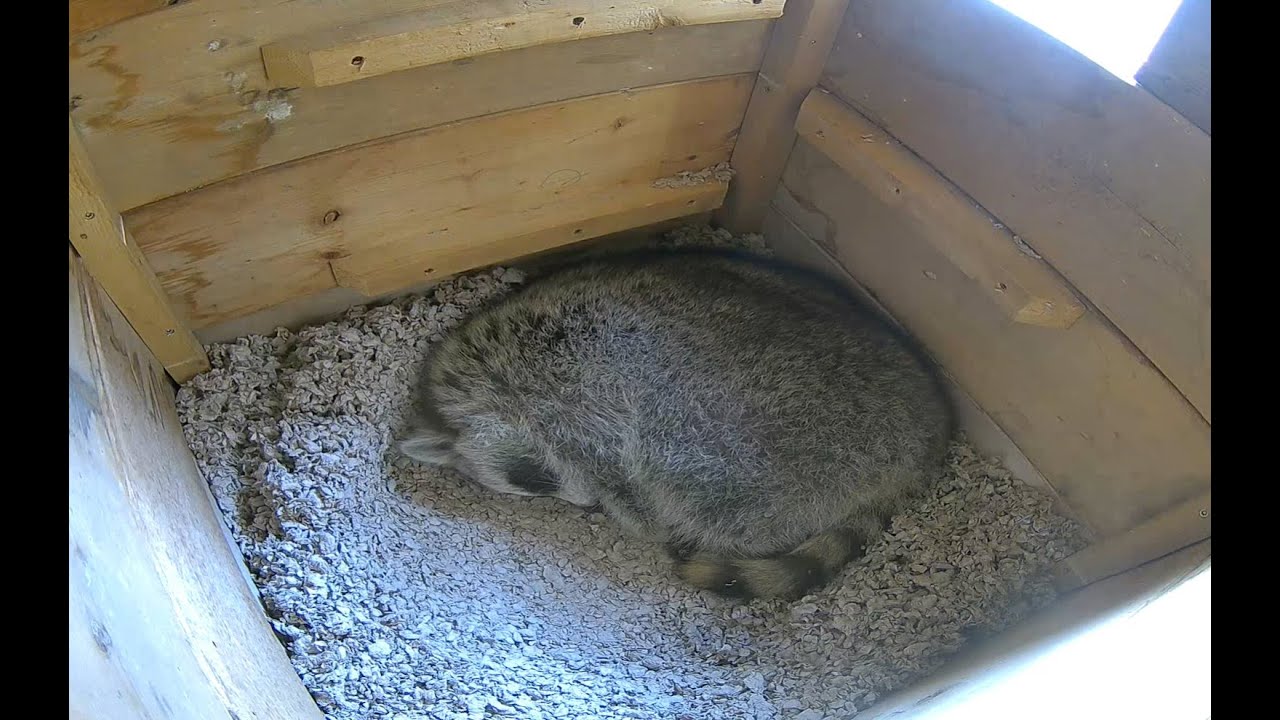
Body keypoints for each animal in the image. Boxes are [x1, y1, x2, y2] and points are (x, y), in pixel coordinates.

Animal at [399, 246, 954, 600]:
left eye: (537, 477)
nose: (584, 504)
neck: (477, 377)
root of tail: (929, 439)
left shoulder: (575, 392)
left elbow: (618, 467)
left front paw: (621, 506)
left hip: (773, 430)